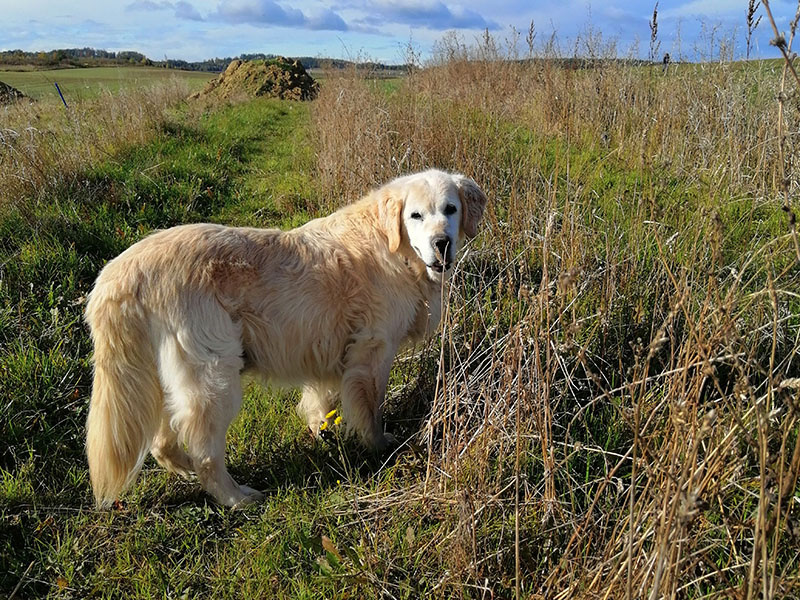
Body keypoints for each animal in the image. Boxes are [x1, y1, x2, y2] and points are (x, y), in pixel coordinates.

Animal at [86, 169, 488, 506]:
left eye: (450, 209)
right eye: (415, 215)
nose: (442, 243)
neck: (394, 251)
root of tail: (120, 271)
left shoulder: (329, 349)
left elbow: (321, 397)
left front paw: (321, 428)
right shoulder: (373, 350)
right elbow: (371, 409)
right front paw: (378, 446)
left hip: (167, 380)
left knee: (162, 441)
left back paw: (185, 470)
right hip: (214, 378)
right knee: (205, 453)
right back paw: (237, 497)